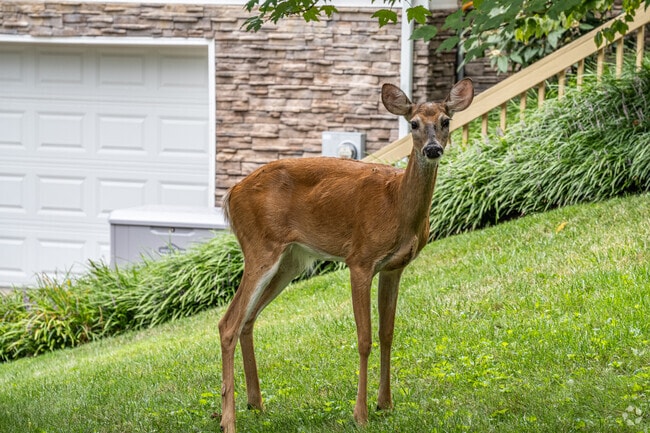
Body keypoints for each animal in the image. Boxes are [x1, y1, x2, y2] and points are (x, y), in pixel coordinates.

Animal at [217, 78, 474, 432]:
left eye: (446, 121)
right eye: (413, 124)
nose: (433, 149)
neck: (397, 206)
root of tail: (231, 194)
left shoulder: (394, 268)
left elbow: (387, 333)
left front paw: (386, 404)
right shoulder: (360, 260)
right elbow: (364, 338)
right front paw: (361, 413)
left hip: (290, 260)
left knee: (248, 319)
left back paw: (255, 404)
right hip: (259, 246)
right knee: (228, 323)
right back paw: (228, 420)